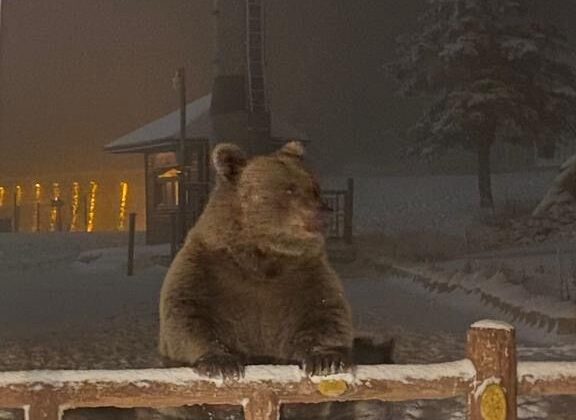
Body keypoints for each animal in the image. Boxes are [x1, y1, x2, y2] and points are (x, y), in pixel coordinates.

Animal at [158, 144, 356, 416]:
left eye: (314, 186)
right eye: (289, 188)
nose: (324, 211)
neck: (261, 257)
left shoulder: (305, 275)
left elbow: (327, 312)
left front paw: (326, 359)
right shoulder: (205, 270)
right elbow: (187, 314)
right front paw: (221, 363)